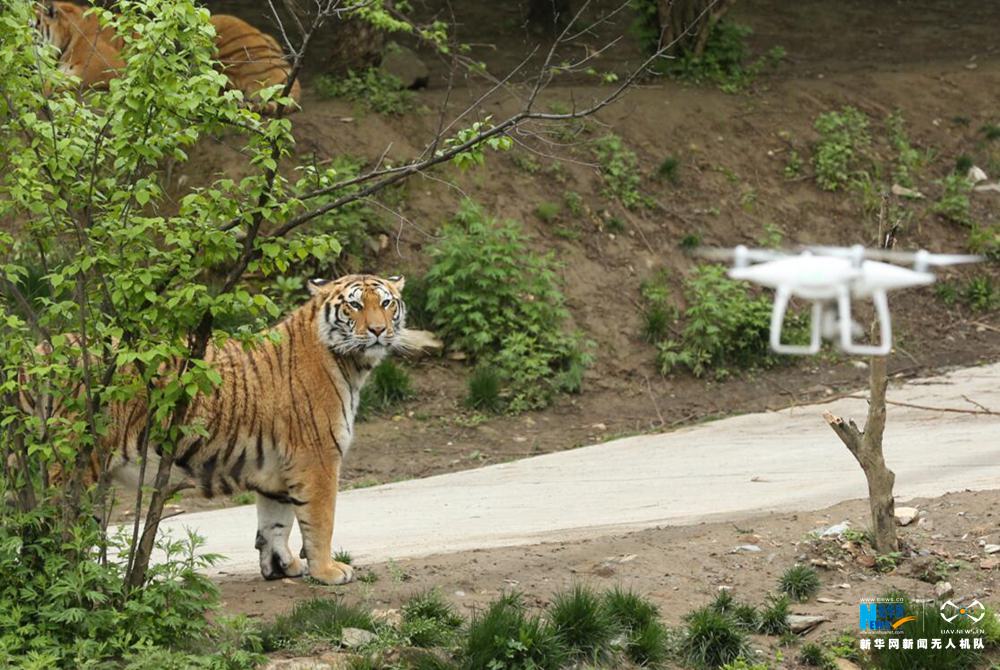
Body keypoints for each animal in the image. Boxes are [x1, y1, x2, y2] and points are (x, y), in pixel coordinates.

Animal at [16, 276, 430, 584]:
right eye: (355, 306)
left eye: (387, 303)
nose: (378, 330)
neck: (351, 365)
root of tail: (37, 354)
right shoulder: (318, 459)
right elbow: (320, 520)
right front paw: (328, 571)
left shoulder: (280, 468)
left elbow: (276, 521)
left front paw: (281, 567)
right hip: (74, 467)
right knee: (56, 528)